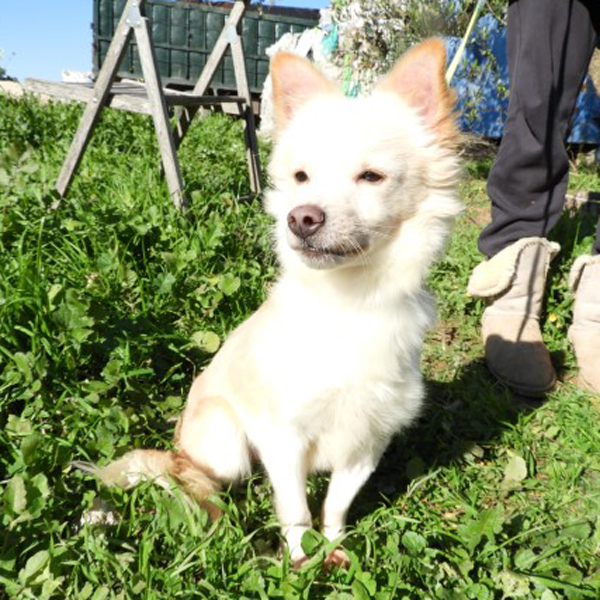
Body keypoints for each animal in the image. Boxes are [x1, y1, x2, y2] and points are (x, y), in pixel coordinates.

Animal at [80, 38, 461, 568]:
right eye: (301, 177)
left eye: (372, 176)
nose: (301, 218)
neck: (353, 300)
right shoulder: (284, 437)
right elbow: (297, 509)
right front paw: (301, 559)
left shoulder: (367, 444)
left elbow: (335, 505)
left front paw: (334, 548)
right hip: (226, 442)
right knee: (192, 474)